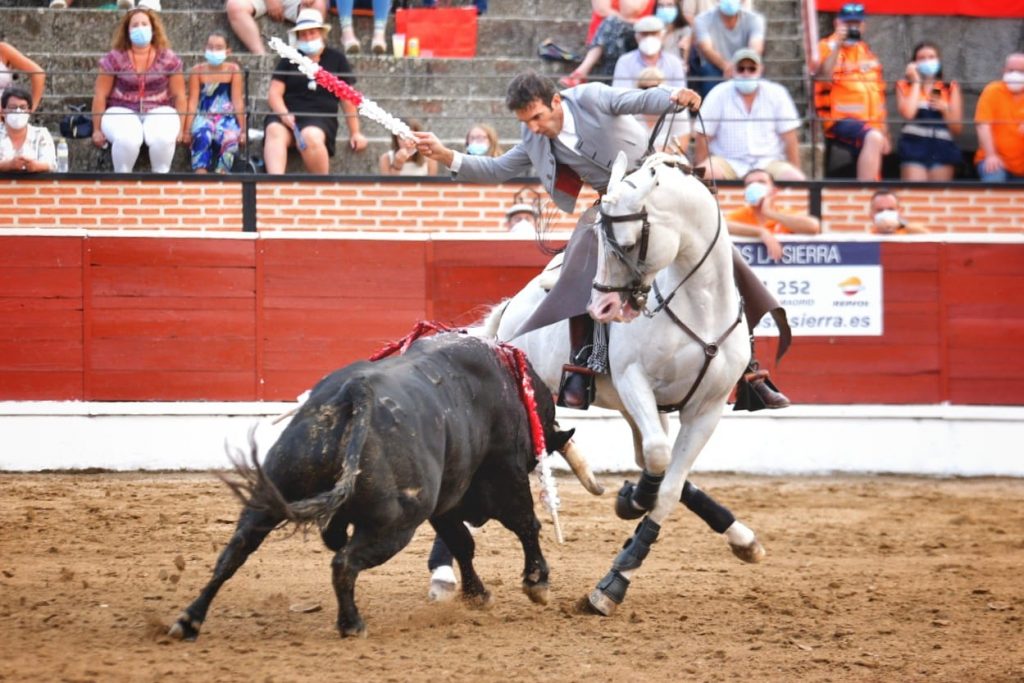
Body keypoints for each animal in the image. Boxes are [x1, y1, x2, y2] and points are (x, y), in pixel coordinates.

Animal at [172, 333, 581, 638]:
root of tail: (354, 393)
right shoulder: (502, 476)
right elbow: (524, 524)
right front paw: (537, 583)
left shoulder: (444, 504)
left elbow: (462, 543)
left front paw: (477, 594)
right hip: (395, 524)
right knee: (343, 562)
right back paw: (351, 624)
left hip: (273, 492)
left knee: (234, 552)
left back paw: (189, 620)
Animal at [483, 152, 765, 618]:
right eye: (600, 241)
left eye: (630, 244)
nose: (601, 306)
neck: (700, 303)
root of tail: (511, 308)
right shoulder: (635, 382)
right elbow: (658, 457)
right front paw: (631, 505)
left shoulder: (707, 409)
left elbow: (668, 486)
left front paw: (618, 569)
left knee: (653, 459)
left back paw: (742, 537)